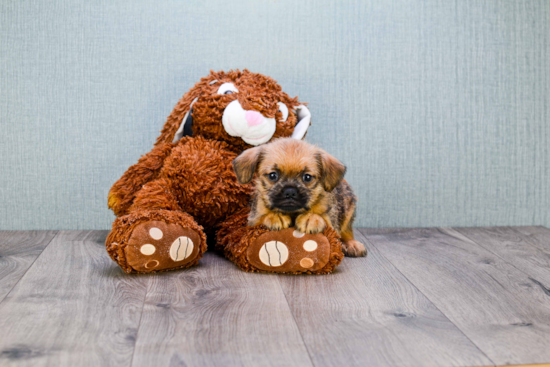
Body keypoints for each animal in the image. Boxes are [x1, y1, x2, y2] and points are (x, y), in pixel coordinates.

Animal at [232, 139, 366, 258]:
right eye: (273, 175)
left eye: (307, 177)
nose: (290, 191)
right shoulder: (254, 220)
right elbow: (262, 218)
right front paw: (275, 216)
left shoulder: (332, 225)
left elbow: (323, 219)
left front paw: (311, 218)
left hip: (348, 209)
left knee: (347, 232)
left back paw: (352, 244)